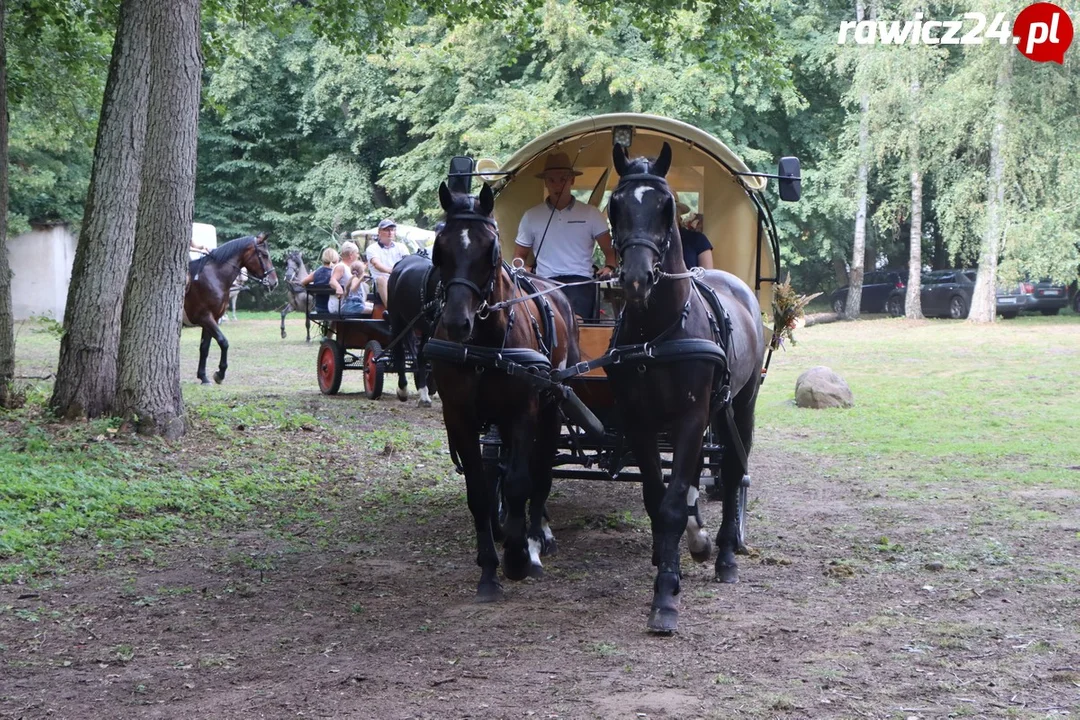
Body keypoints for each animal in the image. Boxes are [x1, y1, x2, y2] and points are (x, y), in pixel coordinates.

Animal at [182, 234, 276, 386]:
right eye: (264, 255)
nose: (274, 282)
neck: (214, 277)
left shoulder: (212, 319)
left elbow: (204, 348)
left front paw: (203, 377)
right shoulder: (205, 317)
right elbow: (223, 342)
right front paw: (220, 374)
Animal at [427, 181, 583, 604]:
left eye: (490, 249)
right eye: (440, 246)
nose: (457, 322)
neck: (483, 345)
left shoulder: (523, 413)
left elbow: (518, 484)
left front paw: (517, 558)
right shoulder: (459, 419)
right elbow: (480, 493)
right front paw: (488, 572)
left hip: (551, 410)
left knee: (540, 473)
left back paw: (536, 537)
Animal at [609, 143, 768, 634]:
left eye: (665, 207)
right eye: (615, 205)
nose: (636, 279)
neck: (659, 330)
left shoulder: (690, 420)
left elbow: (675, 503)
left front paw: (664, 598)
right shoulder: (640, 422)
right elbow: (657, 499)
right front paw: (670, 566)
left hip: (740, 405)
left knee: (733, 470)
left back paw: (726, 555)